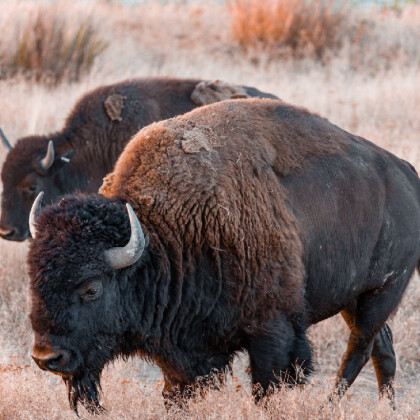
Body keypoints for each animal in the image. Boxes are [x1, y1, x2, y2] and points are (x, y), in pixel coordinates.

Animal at [28, 97, 420, 414]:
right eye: (34, 281)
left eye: (91, 288)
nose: (47, 357)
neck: (164, 236)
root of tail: (406, 172)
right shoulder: (184, 353)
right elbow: (176, 391)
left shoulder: (273, 332)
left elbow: (268, 387)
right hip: (354, 299)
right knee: (382, 348)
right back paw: (387, 406)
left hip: (382, 292)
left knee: (359, 349)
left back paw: (330, 404)